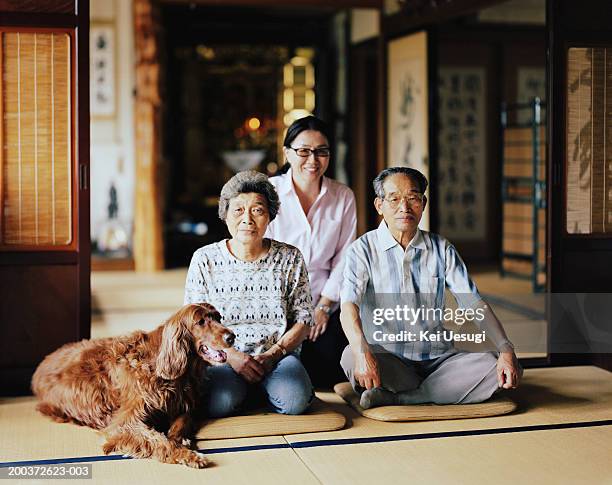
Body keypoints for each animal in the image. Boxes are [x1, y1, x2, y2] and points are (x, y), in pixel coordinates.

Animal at [32, 302, 235, 466]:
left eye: (218, 318)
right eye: (200, 322)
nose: (232, 337)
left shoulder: (182, 405)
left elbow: (182, 421)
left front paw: (178, 438)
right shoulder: (124, 423)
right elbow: (157, 440)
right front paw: (188, 455)